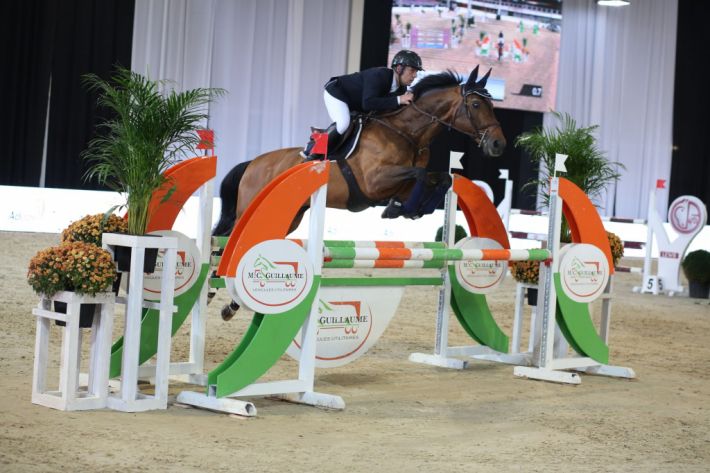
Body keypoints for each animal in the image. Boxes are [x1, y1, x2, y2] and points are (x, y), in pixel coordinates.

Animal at [211, 66, 506, 236]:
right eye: (476, 105)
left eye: (492, 105)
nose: (498, 144)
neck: (407, 133)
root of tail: (253, 163)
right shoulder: (375, 181)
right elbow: (421, 175)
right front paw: (399, 210)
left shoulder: (402, 185)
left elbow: (441, 178)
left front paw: (412, 209)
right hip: (249, 209)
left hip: (291, 215)